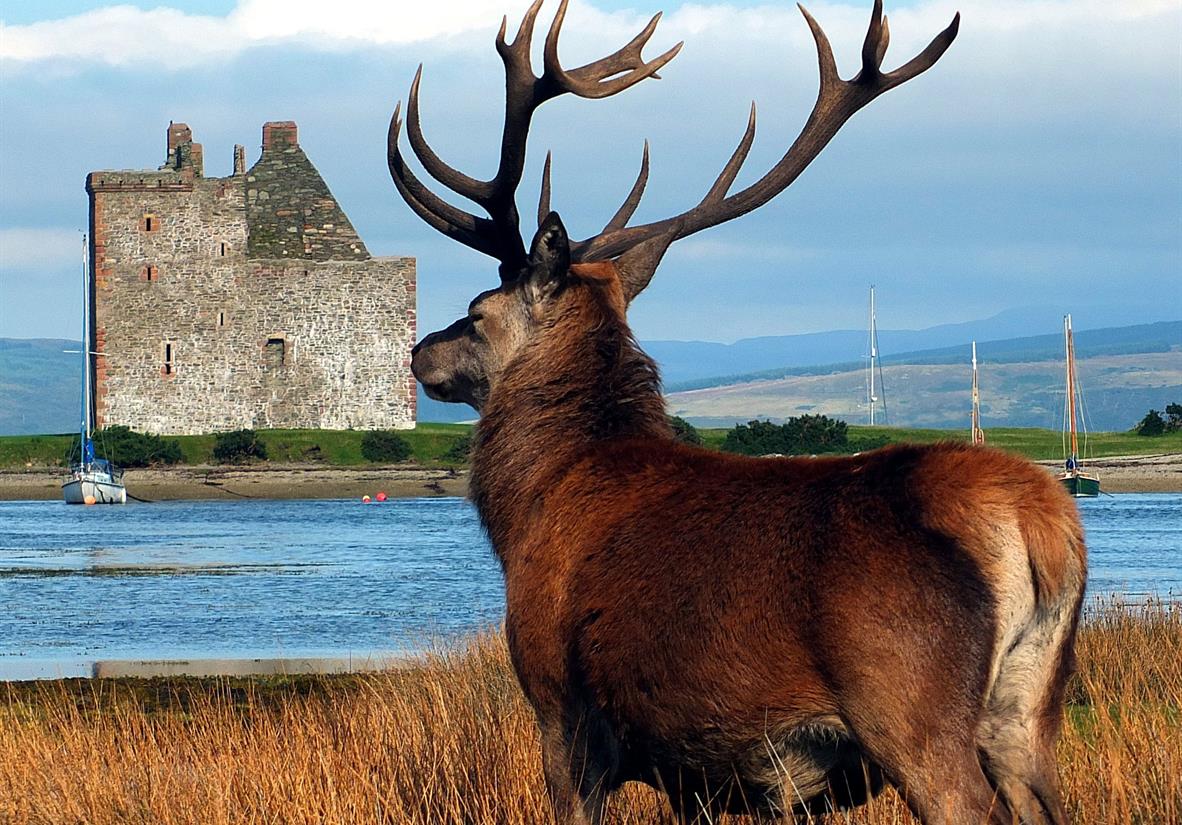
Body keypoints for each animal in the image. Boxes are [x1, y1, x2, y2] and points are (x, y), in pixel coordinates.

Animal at [388, 2, 1087, 823]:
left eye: (476, 311)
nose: (419, 352)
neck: (532, 504)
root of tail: (1039, 521)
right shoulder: (698, 768)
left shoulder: (562, 709)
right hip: (1027, 714)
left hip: (910, 703)